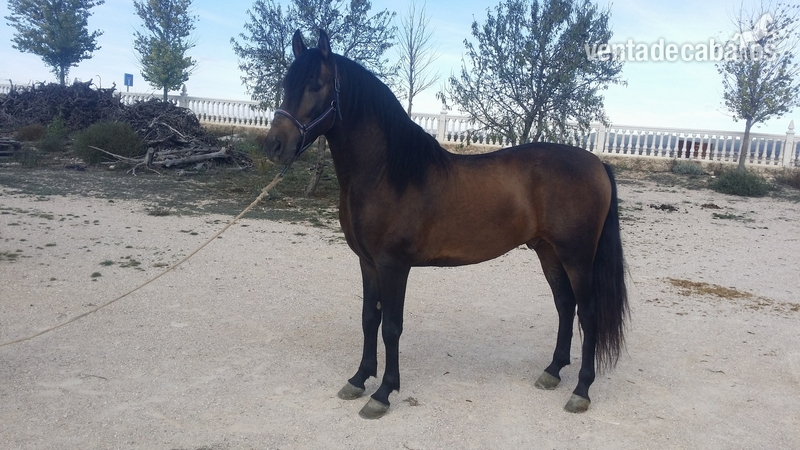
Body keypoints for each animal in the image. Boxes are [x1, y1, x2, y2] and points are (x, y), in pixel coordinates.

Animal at [263, 30, 629, 420]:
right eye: (287, 84)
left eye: (315, 85)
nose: (275, 145)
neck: (387, 173)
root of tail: (597, 163)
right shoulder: (367, 262)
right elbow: (368, 319)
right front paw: (359, 379)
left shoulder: (394, 266)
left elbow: (391, 327)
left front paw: (383, 394)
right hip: (548, 251)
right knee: (565, 305)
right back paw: (552, 372)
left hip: (577, 256)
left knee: (587, 313)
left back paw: (581, 390)